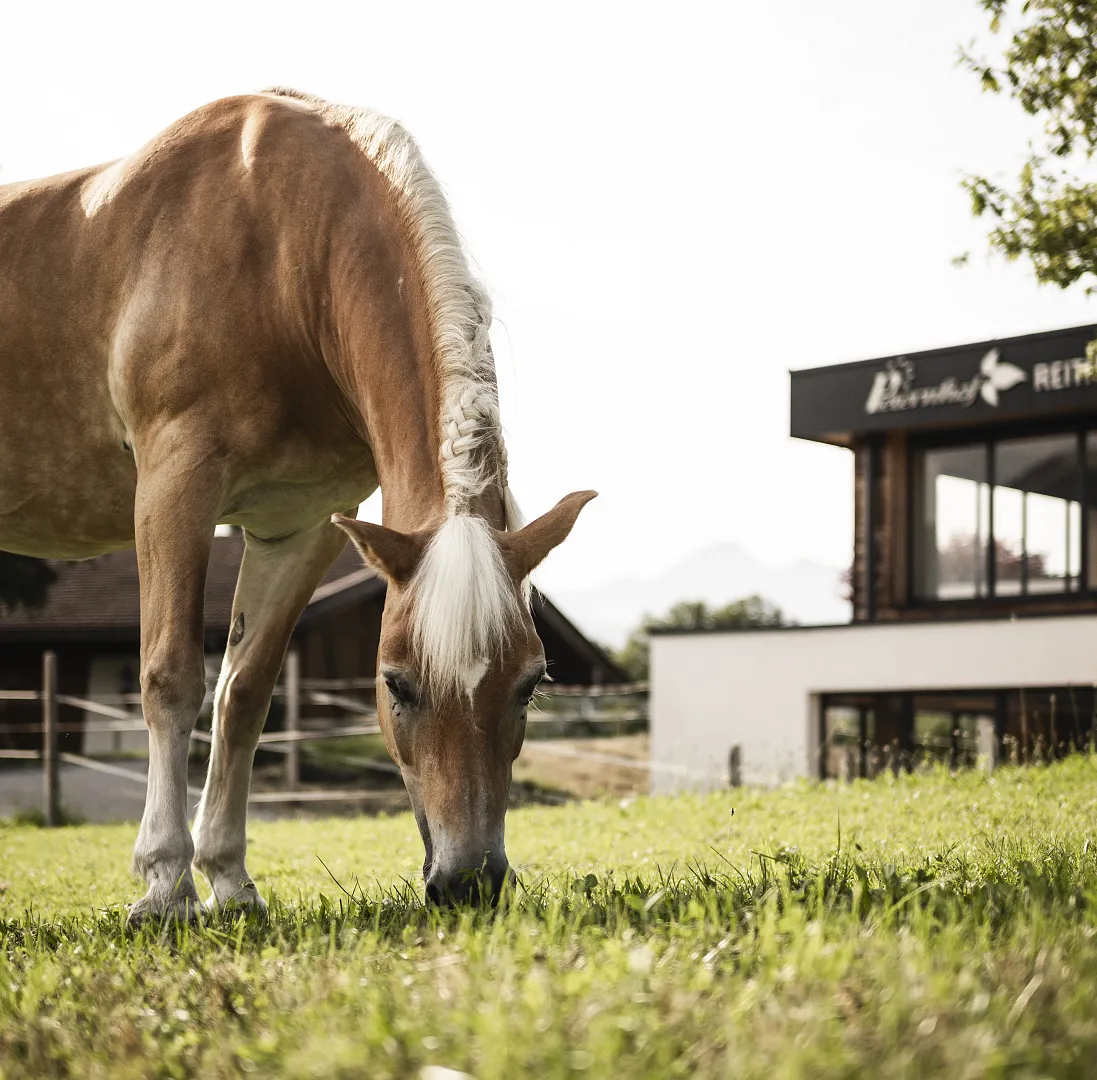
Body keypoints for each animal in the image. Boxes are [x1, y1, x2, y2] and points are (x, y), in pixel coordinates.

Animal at [0, 88, 595, 920]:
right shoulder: (174, 483)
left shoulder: (303, 524)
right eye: (395, 683)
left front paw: (228, 880)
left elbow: (243, 693)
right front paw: (164, 885)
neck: (278, 250)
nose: (468, 881)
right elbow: (170, 676)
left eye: (532, 681)